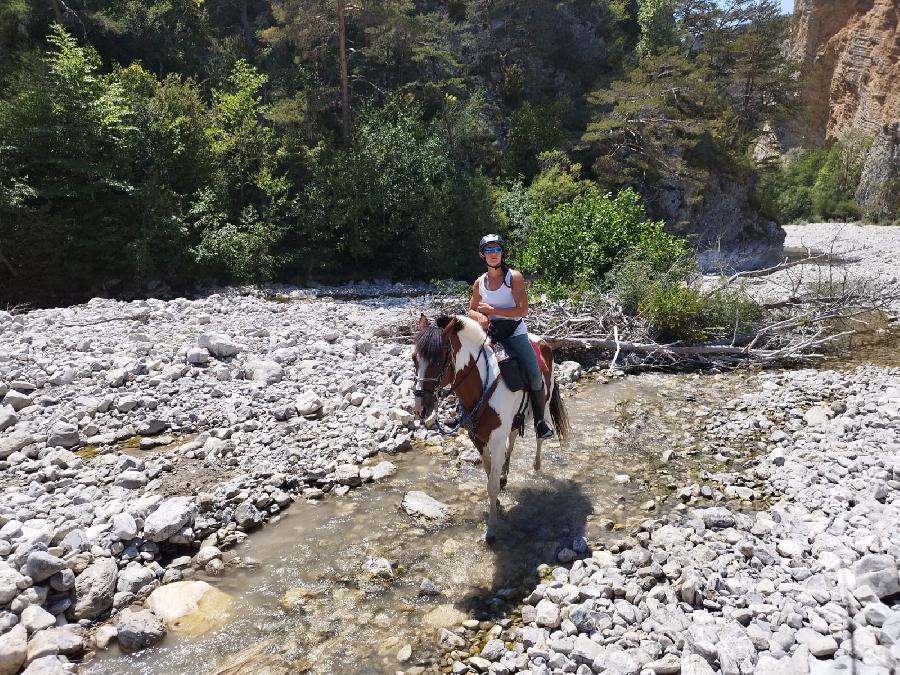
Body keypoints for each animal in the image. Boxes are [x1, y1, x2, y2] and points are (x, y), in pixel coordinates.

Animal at [414, 316, 568, 544]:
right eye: (414, 358)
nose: (420, 409)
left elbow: (492, 485)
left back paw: (536, 464)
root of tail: (542, 341)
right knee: (512, 438)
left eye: (440, 359)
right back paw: (505, 471)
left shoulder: (495, 440)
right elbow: (489, 475)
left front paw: (492, 529)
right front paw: (496, 500)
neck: (482, 385)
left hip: (544, 402)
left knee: (539, 435)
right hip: (513, 421)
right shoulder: (477, 437)